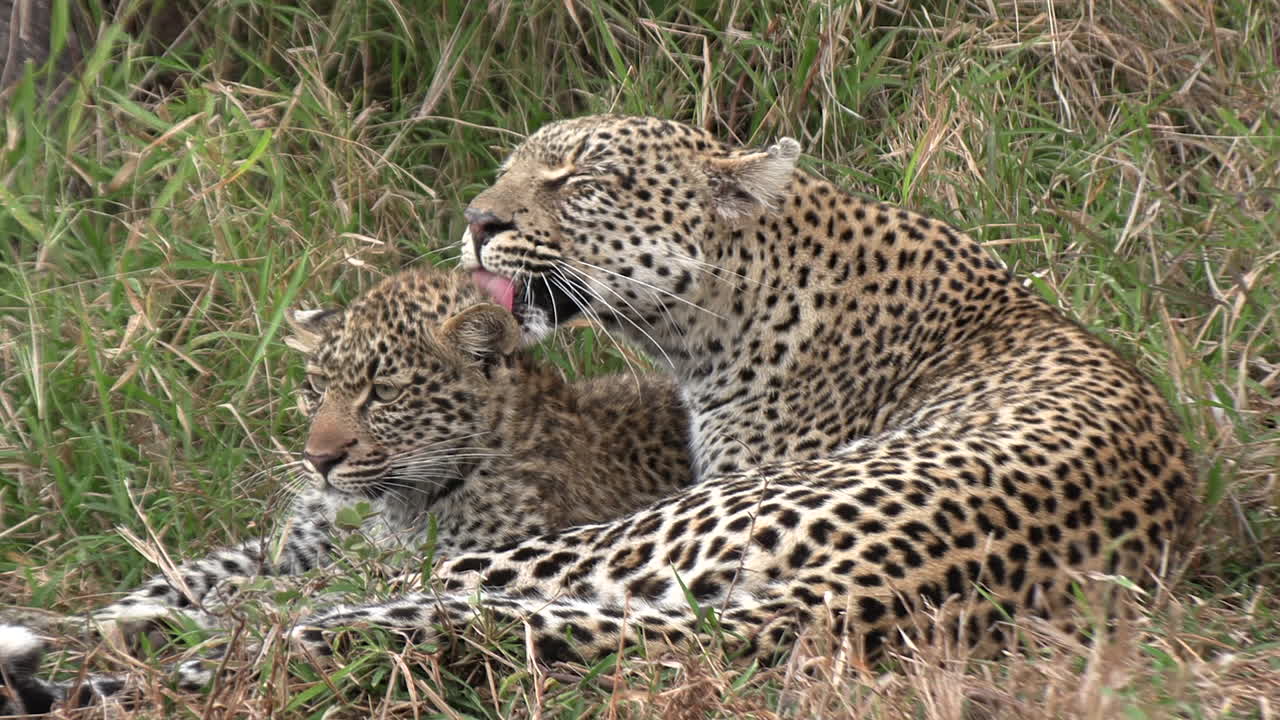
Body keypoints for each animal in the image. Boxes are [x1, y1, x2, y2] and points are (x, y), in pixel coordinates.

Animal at [0, 266, 693, 715]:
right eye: (314, 388)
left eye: (383, 393)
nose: (319, 459)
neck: (391, 504)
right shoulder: (297, 540)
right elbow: (189, 574)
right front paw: (98, 622)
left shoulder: (467, 552)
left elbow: (320, 586)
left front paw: (222, 608)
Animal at [278, 114, 1195, 670]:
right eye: (509, 172)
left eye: (579, 182)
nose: (476, 223)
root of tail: (876, 585)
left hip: (648, 530)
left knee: (420, 574)